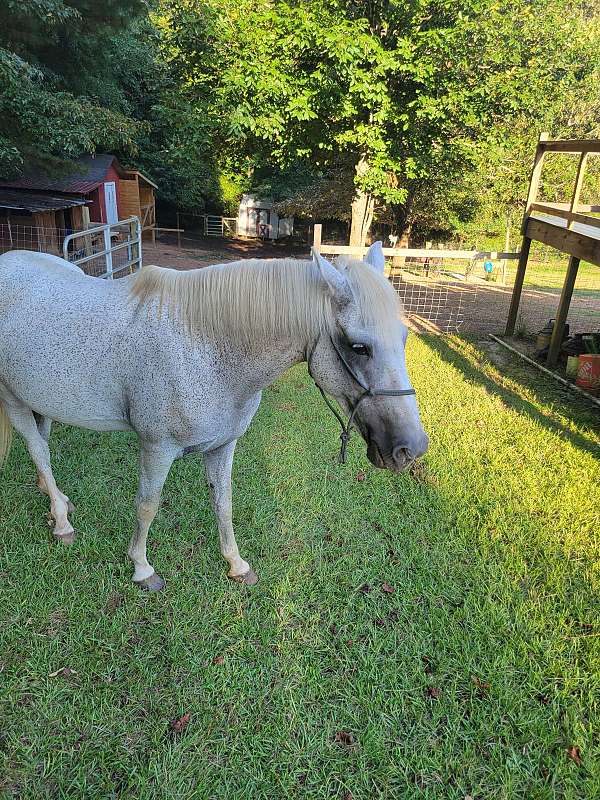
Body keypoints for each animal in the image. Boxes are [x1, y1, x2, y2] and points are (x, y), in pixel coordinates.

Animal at [0, 243, 428, 590]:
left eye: (404, 338)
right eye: (358, 347)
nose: (411, 448)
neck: (207, 346)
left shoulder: (223, 445)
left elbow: (223, 503)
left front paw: (236, 565)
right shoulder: (156, 448)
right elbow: (147, 506)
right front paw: (142, 568)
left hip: (41, 400)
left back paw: (56, 499)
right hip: (13, 400)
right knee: (38, 450)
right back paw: (61, 523)